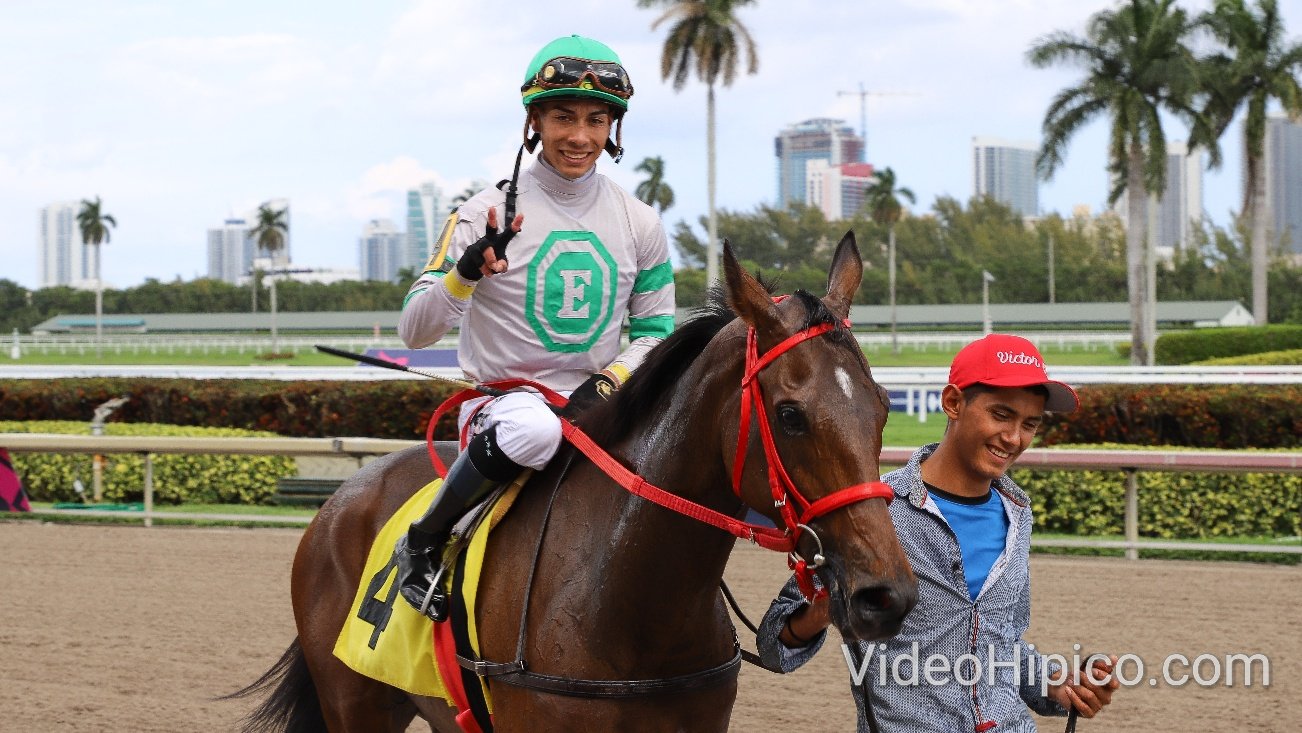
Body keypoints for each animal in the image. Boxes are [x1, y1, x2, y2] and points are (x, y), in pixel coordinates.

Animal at [236, 234, 927, 729]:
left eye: (881, 406)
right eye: (789, 414)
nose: (885, 594)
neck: (628, 605)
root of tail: (340, 500)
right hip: (356, 703)